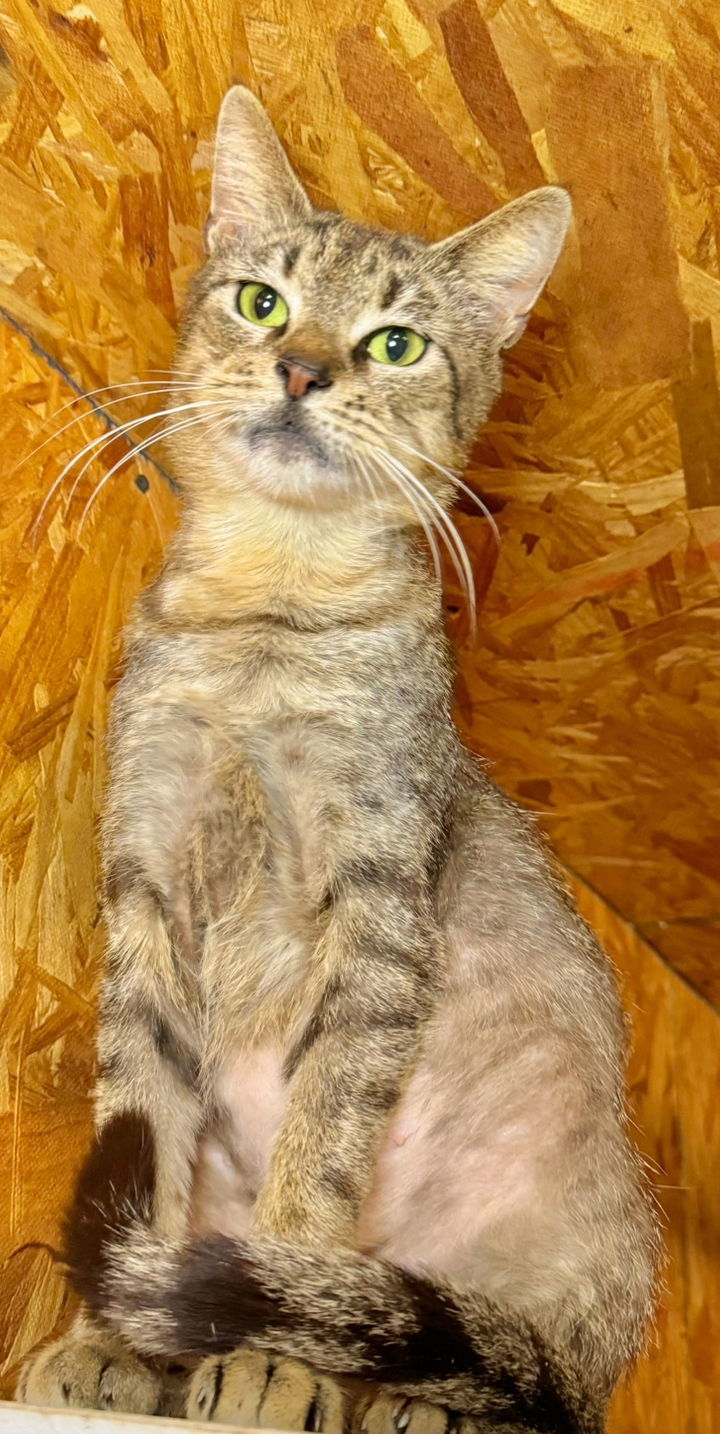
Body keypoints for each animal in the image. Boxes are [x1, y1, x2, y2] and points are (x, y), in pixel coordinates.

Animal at [16, 89, 656, 1434]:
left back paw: (414, 1395)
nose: (304, 366)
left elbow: (318, 1161)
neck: (267, 615)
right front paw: (121, 1343)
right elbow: (141, 1118)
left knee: (520, 1367)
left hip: (584, 1261)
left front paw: (274, 1365)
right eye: (264, 301)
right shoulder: (148, 887)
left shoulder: (376, 909)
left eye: (398, 343)